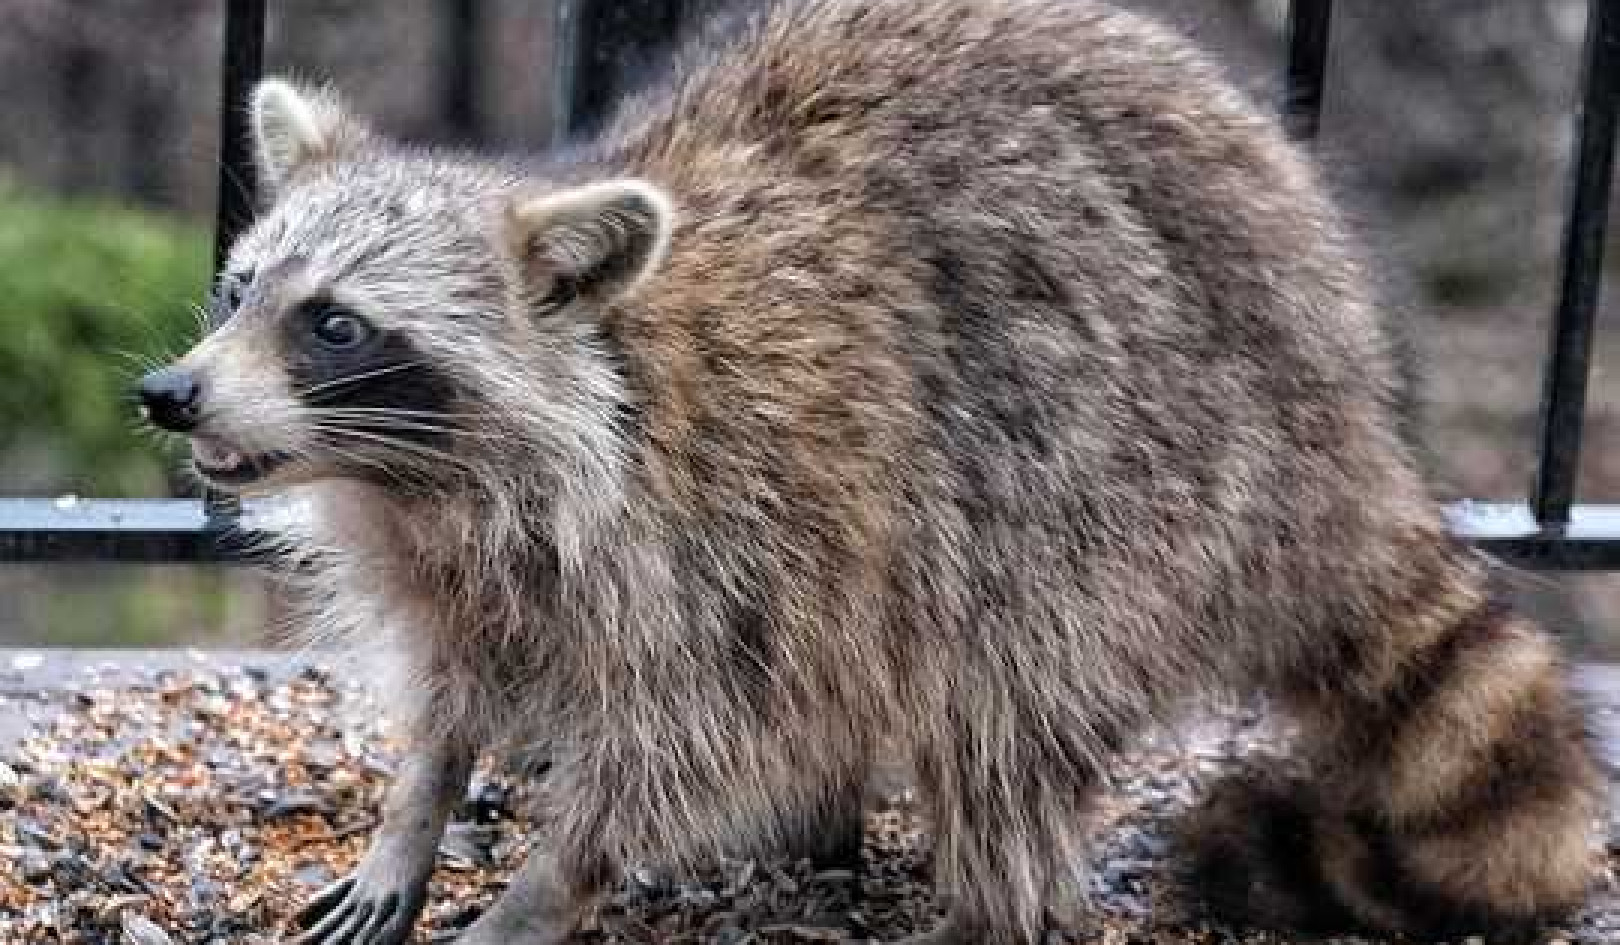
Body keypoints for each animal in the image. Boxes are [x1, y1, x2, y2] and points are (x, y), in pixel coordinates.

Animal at [136, 0, 1601, 942]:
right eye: (239, 288)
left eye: (334, 325)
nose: (169, 393)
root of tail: (1351, 419)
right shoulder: (444, 559)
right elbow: (451, 684)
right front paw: (418, 805)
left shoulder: (745, 535)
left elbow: (684, 750)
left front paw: (549, 883)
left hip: (1137, 495)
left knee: (1010, 704)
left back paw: (991, 908)